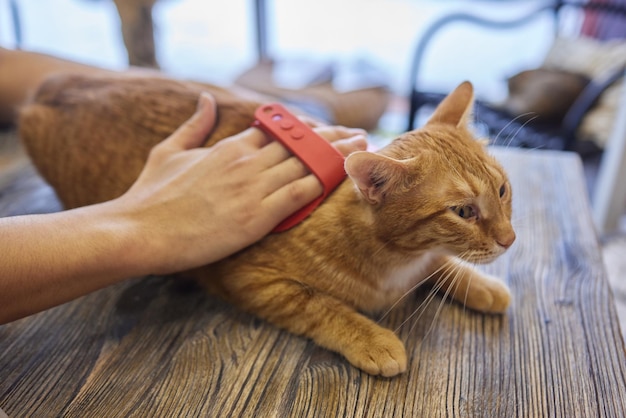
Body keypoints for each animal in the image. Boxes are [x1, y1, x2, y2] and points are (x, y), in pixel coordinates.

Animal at [18, 73, 512, 378]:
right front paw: (372, 338)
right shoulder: (252, 279)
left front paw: (480, 284)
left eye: (503, 190)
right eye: (464, 212)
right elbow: (321, 306)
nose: (510, 240)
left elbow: (441, 264)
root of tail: (52, 83)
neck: (397, 260)